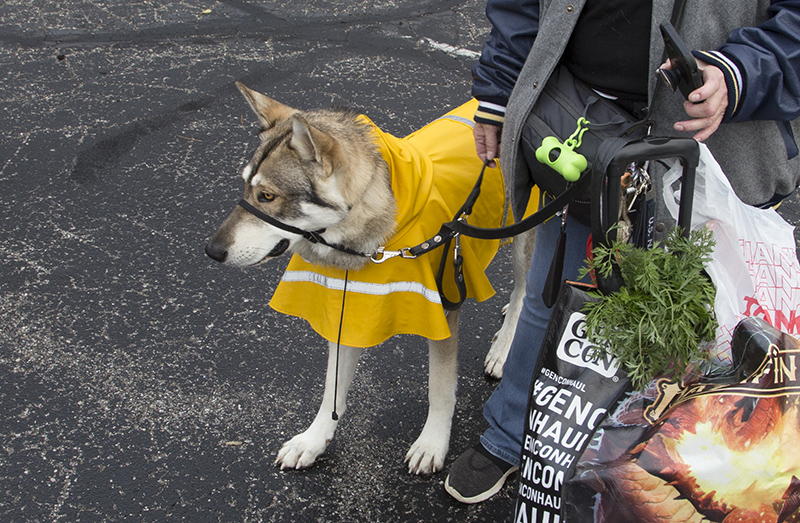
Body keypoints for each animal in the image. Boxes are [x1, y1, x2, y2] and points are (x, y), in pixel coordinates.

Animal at [203, 84, 536, 476]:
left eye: (267, 196)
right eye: (245, 187)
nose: (211, 251)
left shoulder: (444, 311)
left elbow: (440, 389)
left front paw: (432, 444)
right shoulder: (351, 304)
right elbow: (332, 390)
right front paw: (313, 440)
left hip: (523, 234)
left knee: (525, 289)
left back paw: (503, 349)